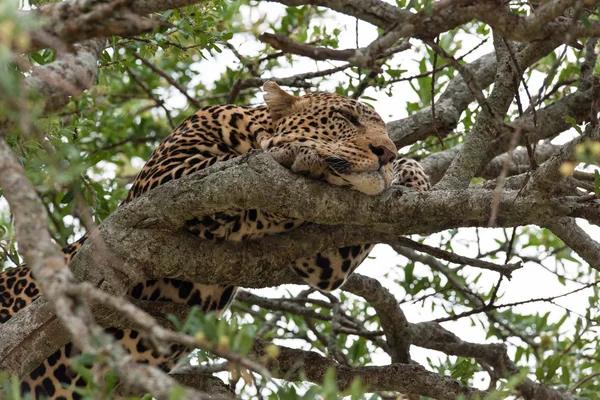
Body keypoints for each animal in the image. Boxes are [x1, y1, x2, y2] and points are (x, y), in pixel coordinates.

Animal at [1, 83, 432, 398]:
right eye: (345, 117)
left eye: (386, 133)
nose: (385, 151)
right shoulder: (161, 185)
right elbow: (229, 169)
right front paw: (298, 153)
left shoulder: (322, 262)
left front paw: (413, 175)